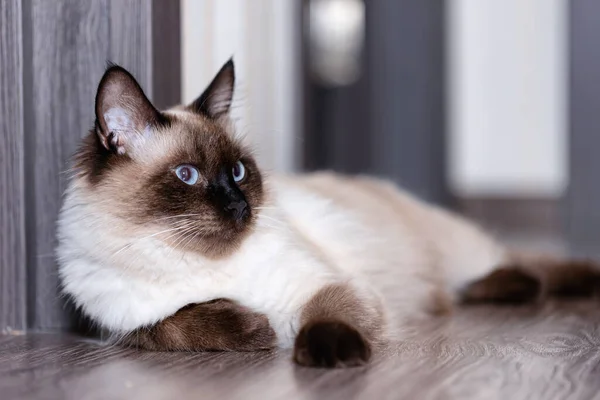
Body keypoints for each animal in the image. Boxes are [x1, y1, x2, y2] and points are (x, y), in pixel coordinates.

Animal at [56, 57, 600, 368]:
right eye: (187, 176)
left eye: (238, 171)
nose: (240, 205)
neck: (195, 263)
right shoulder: (123, 326)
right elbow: (177, 322)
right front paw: (256, 329)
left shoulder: (327, 285)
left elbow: (326, 317)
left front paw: (328, 357)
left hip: (461, 251)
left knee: (515, 264)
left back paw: (535, 283)